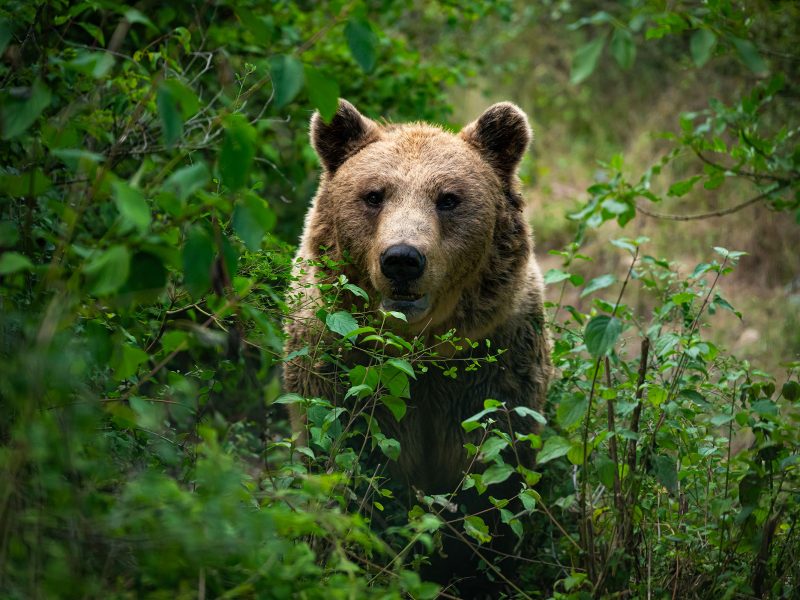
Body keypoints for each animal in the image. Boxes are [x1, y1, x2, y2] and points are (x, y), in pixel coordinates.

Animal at [283, 99, 552, 593]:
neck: (418, 348)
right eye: (374, 194)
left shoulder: (491, 365)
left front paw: (478, 571)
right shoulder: (341, 365)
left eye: (448, 198)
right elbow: (355, 468)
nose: (403, 259)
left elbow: (493, 480)